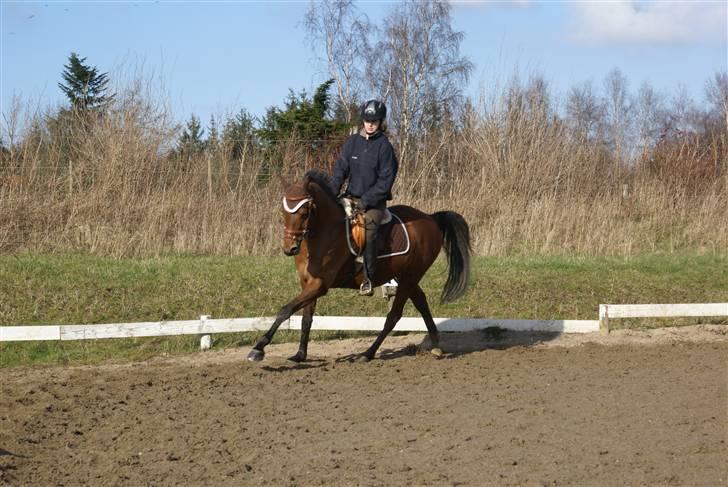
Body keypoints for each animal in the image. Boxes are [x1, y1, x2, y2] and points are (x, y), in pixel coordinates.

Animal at [246, 170, 472, 364]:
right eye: (283, 211)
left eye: (304, 212)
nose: (289, 248)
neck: (323, 233)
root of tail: (430, 218)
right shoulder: (307, 283)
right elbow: (306, 318)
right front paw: (300, 354)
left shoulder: (320, 285)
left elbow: (285, 310)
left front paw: (258, 349)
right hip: (406, 277)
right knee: (421, 302)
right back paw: (435, 345)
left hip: (410, 277)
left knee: (394, 316)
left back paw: (368, 353)